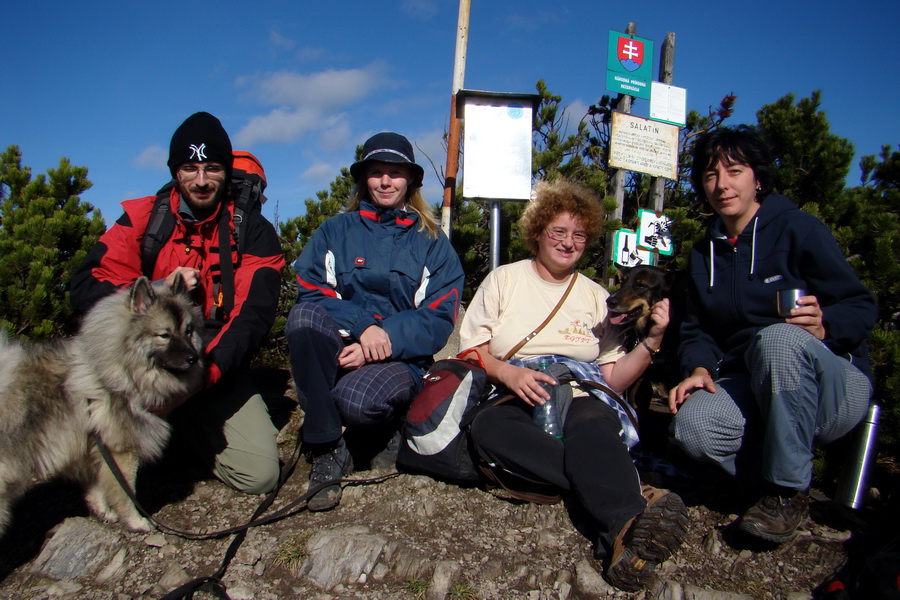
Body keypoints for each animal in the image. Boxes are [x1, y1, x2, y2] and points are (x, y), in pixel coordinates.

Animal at [0, 276, 204, 536]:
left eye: (188, 331)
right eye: (164, 335)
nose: (193, 358)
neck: (121, 371)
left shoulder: (92, 448)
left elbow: (95, 487)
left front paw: (103, 512)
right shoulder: (121, 452)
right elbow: (126, 493)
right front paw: (137, 521)